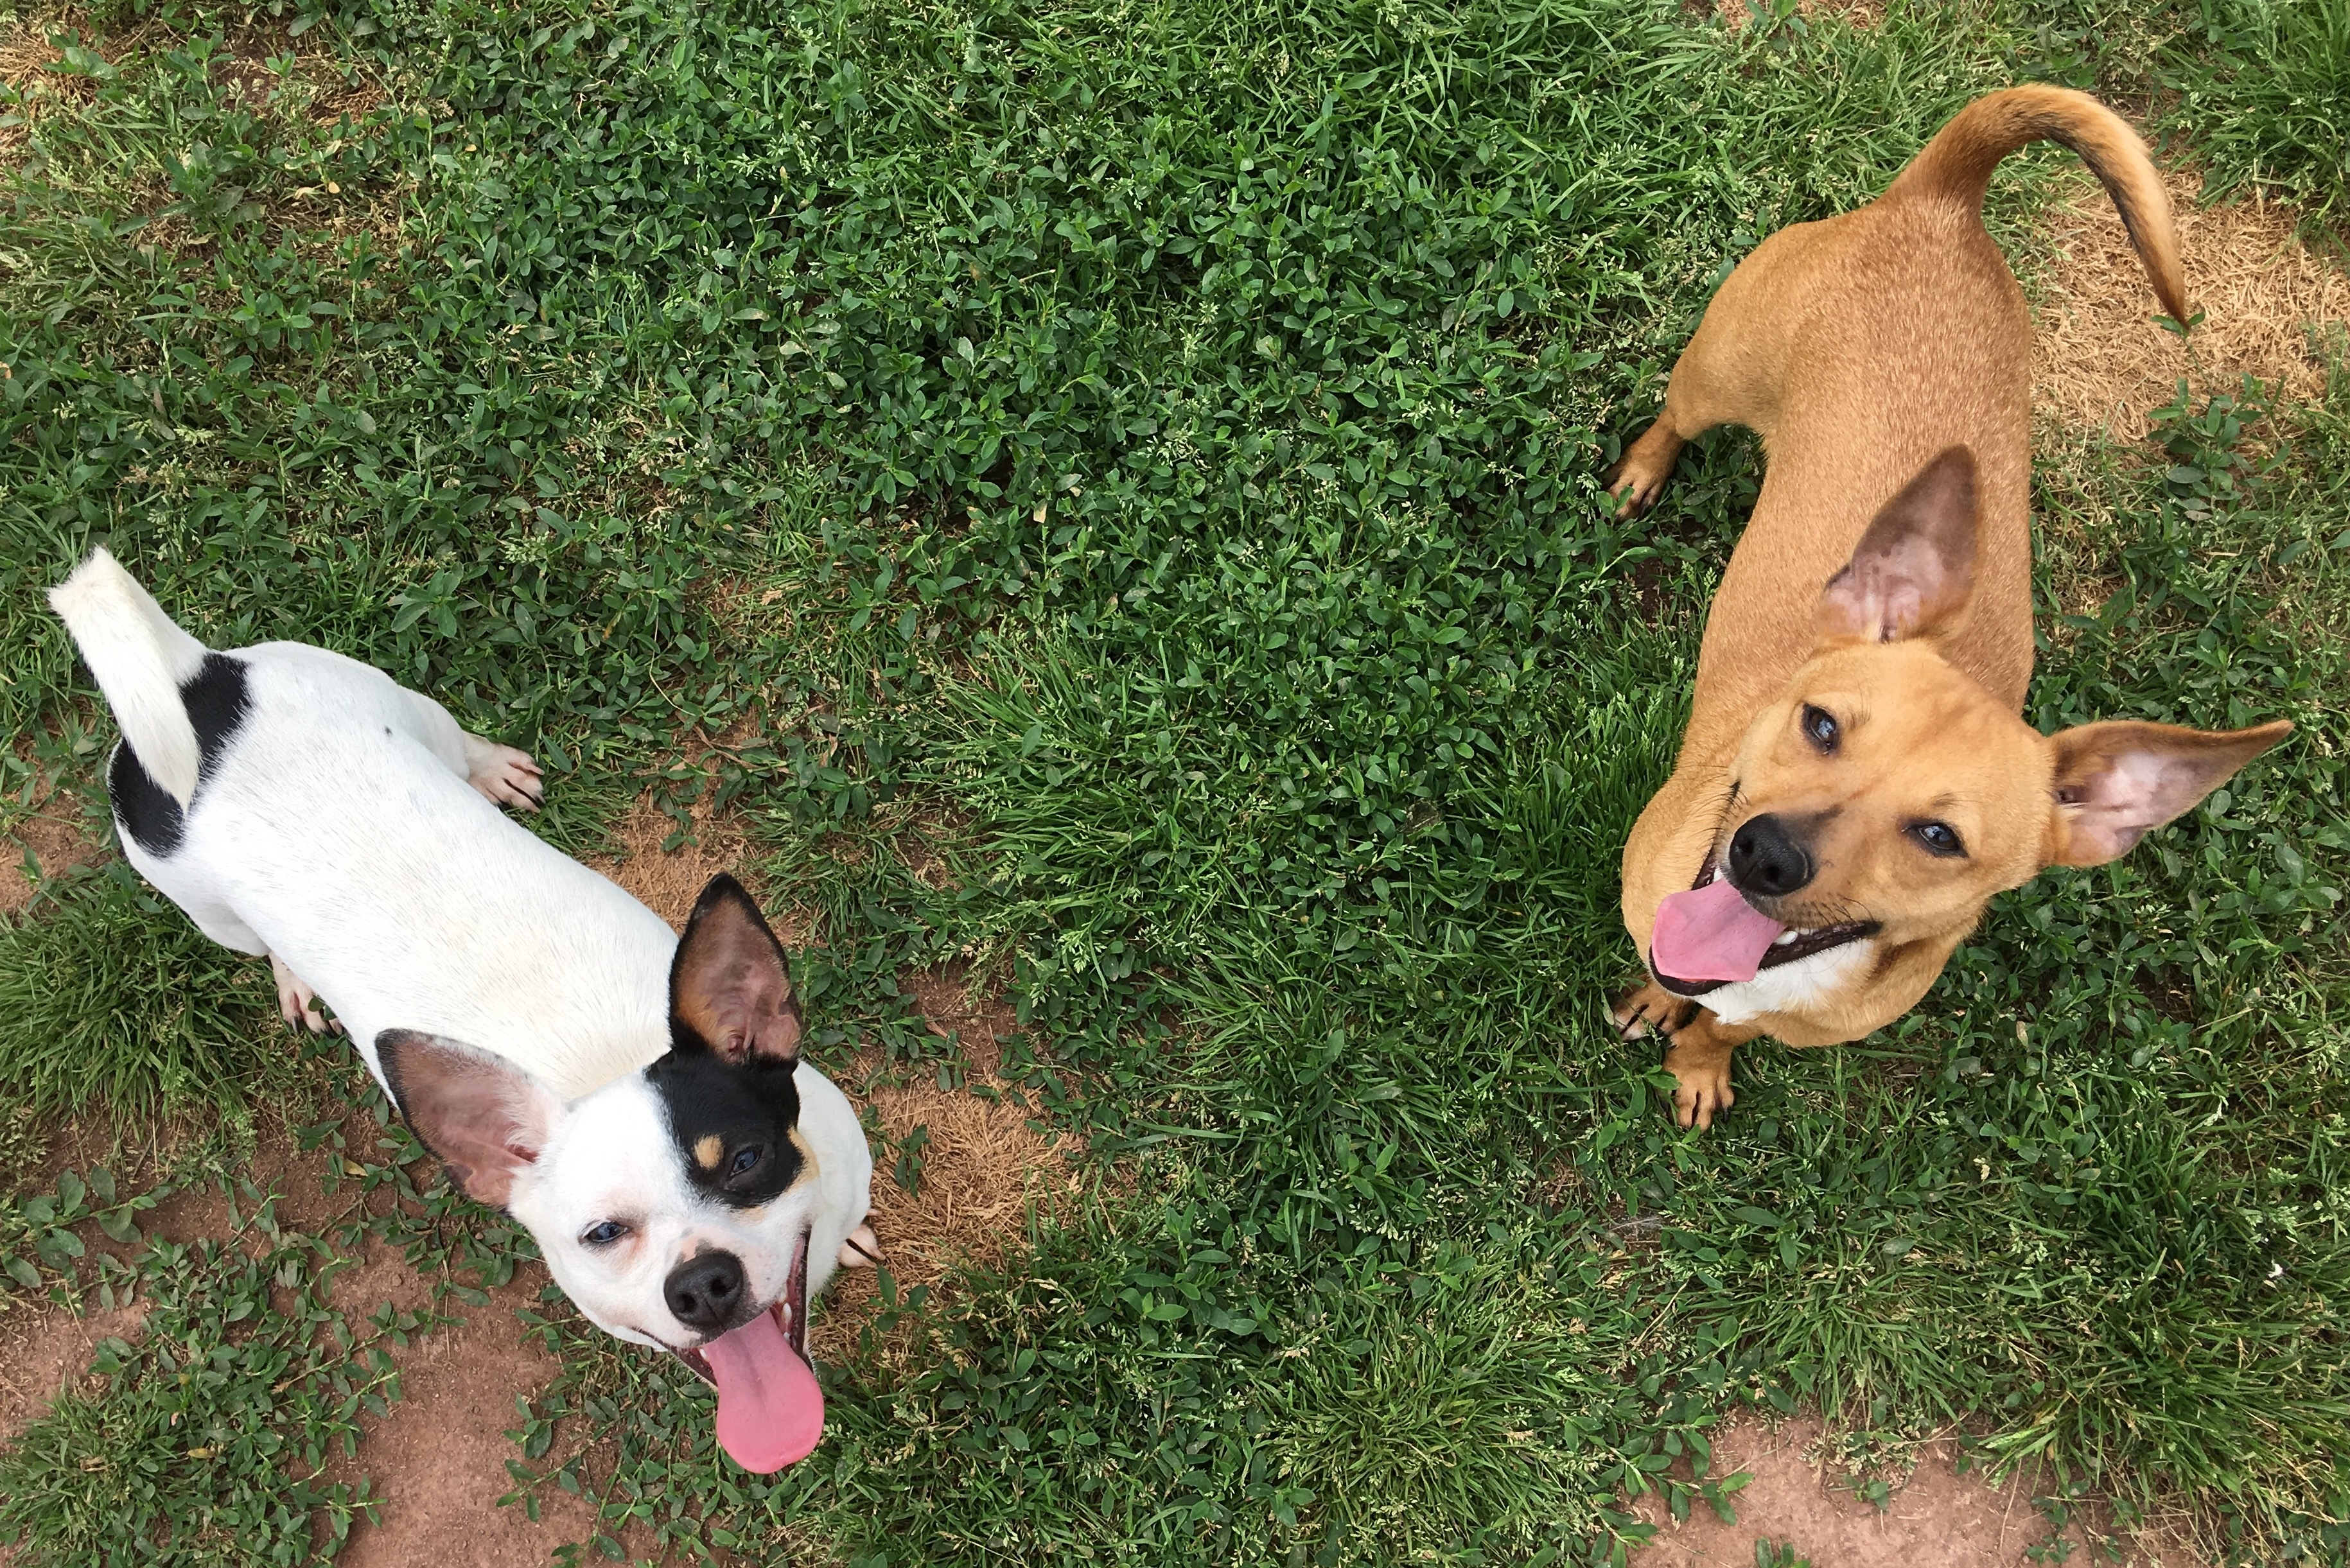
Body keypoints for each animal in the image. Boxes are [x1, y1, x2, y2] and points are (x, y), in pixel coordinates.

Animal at [50, 550, 879, 1476]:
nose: (700, 1284)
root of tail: (193, 689)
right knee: (258, 942)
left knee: (455, 740)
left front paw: (848, 1236)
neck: (603, 1057)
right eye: (601, 1234)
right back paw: (295, 974)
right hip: (204, 909)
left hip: (397, 704)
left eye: (743, 1160)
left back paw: (492, 771)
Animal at [1607, 85, 2284, 1128]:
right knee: (1673, 417)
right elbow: (1664, 975)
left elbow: (1720, 1028)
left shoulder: (1773, 1017)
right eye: (1819, 724)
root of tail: (1942, 204)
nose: (1765, 856)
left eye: (1938, 837)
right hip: (1717, 370)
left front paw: (1699, 1060)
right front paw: (1654, 1003)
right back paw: (1642, 471)